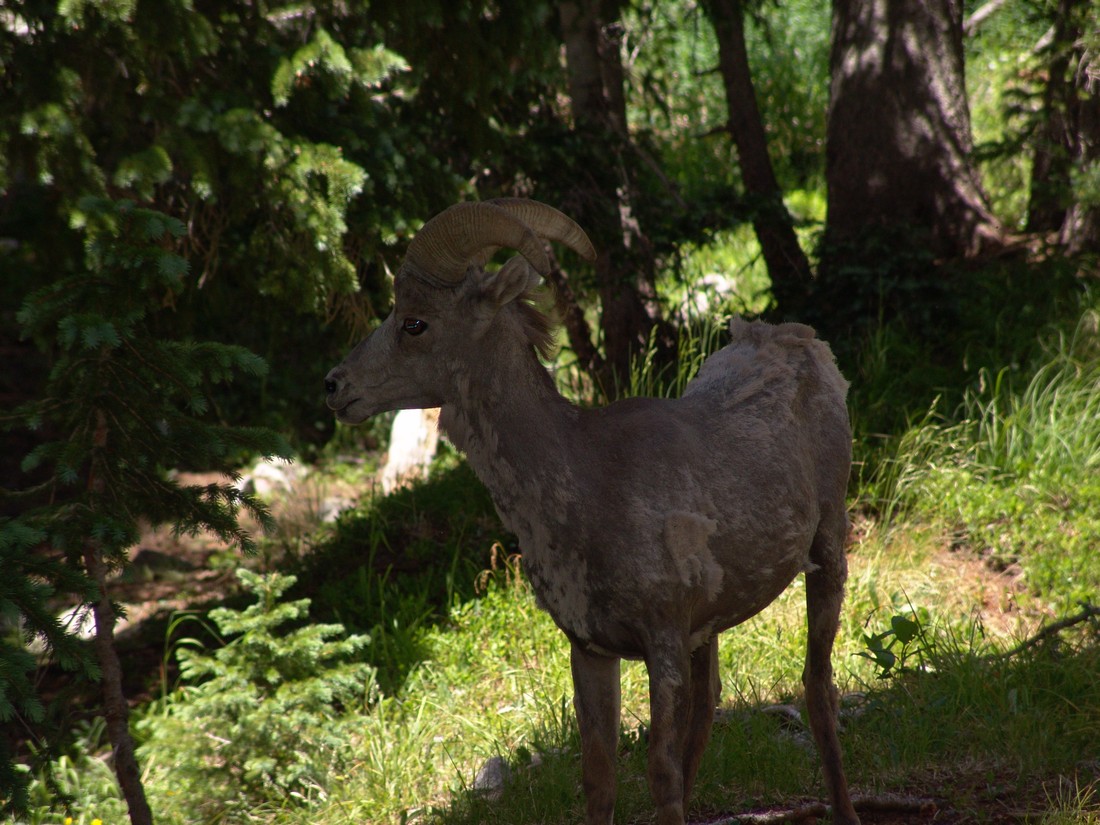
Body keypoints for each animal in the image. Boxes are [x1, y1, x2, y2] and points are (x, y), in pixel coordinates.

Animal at [323, 200, 858, 825]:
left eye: (414, 323)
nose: (334, 386)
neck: (583, 490)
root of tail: (800, 341)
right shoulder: (591, 649)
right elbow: (599, 780)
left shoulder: (663, 643)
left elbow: (661, 777)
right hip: (712, 626)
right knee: (711, 709)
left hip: (828, 550)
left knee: (817, 687)